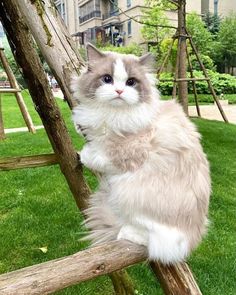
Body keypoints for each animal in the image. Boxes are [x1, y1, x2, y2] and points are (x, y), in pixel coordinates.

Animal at [71, 44, 211, 266]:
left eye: (131, 82)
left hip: (129, 194)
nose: (119, 91)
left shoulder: (127, 152)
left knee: (152, 241)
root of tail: (192, 239)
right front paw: (81, 128)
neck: (112, 113)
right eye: (107, 79)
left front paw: (84, 154)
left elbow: (100, 155)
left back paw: (127, 234)